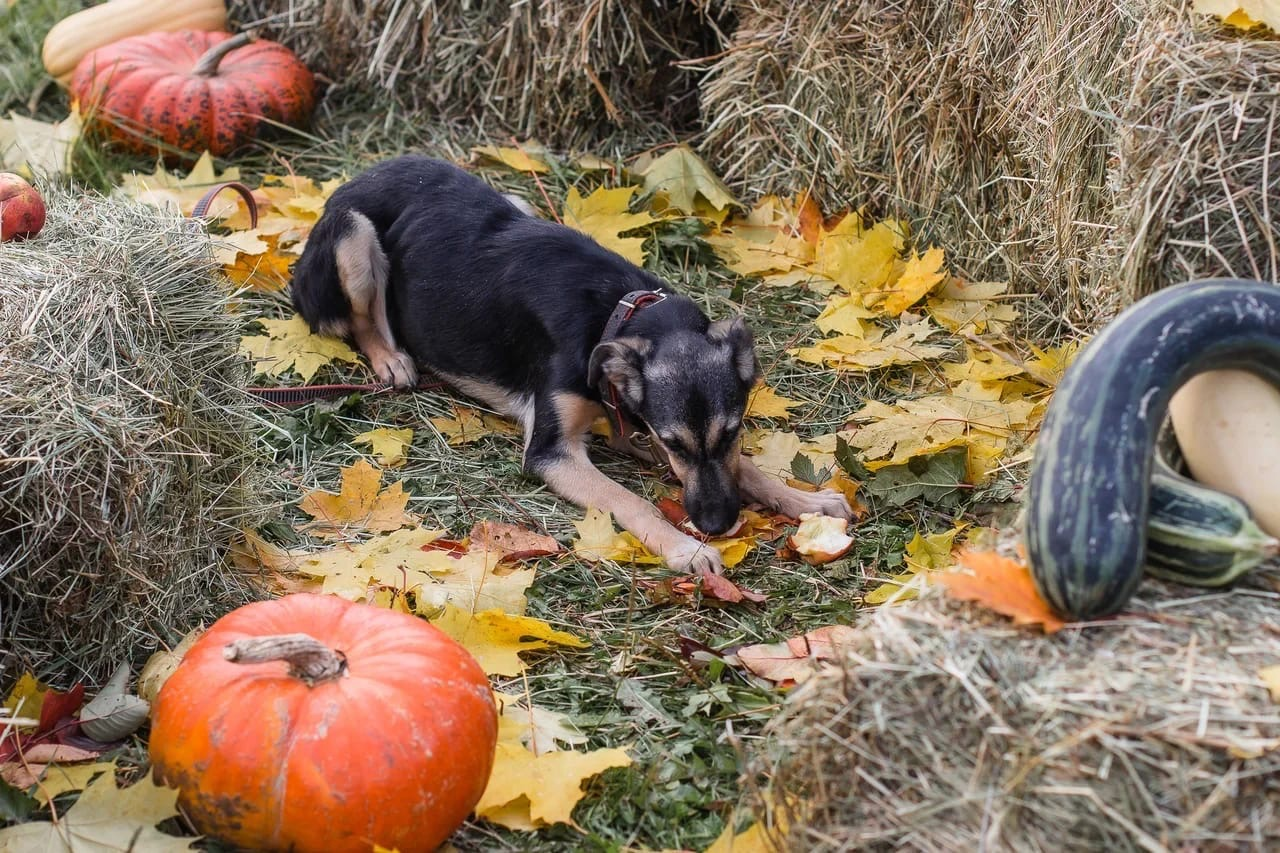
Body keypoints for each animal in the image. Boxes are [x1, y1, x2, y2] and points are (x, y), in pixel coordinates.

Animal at [290, 156, 849, 573]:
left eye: (733, 432)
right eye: (674, 444)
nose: (718, 525)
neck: (620, 311)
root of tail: (358, 177)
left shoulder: (629, 420)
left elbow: (748, 469)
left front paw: (806, 503)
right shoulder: (552, 452)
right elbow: (629, 499)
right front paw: (684, 548)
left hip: (513, 200)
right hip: (351, 234)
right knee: (363, 319)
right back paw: (391, 359)